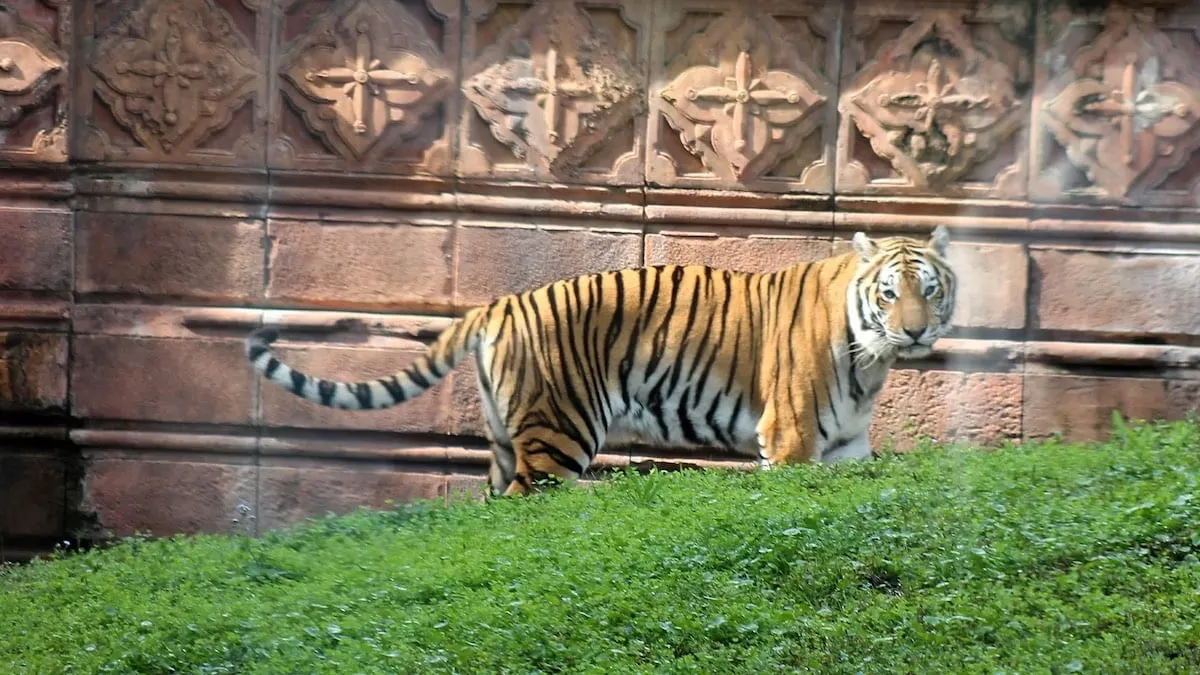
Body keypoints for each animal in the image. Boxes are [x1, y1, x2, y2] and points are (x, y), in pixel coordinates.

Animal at [243, 225, 955, 494]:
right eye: (888, 294)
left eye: (930, 289)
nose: (916, 333)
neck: (870, 362)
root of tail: (498, 305)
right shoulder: (792, 439)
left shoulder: (846, 449)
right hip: (558, 434)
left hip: (505, 441)